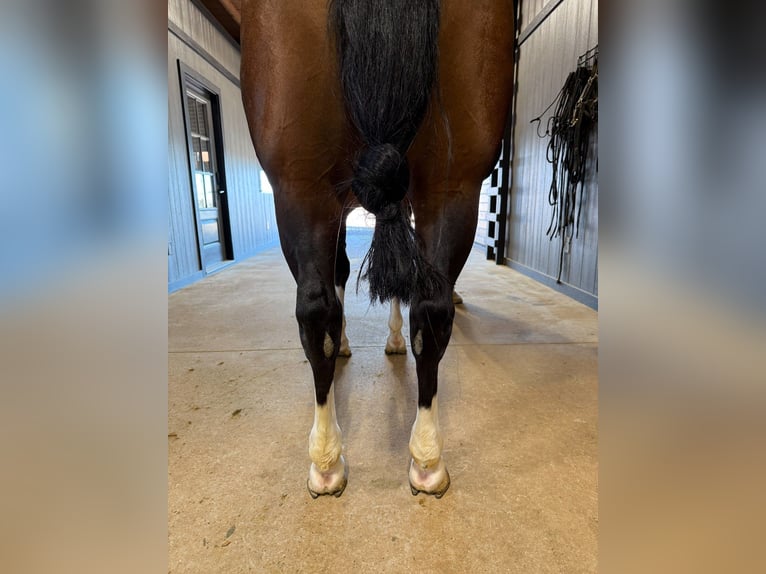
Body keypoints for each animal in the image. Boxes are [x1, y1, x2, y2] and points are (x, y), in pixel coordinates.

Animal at [240, 0, 514, 498]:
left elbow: (345, 273)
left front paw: (371, 342)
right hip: (451, 185)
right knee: (429, 309)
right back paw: (425, 458)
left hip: (301, 186)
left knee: (317, 310)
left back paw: (328, 461)